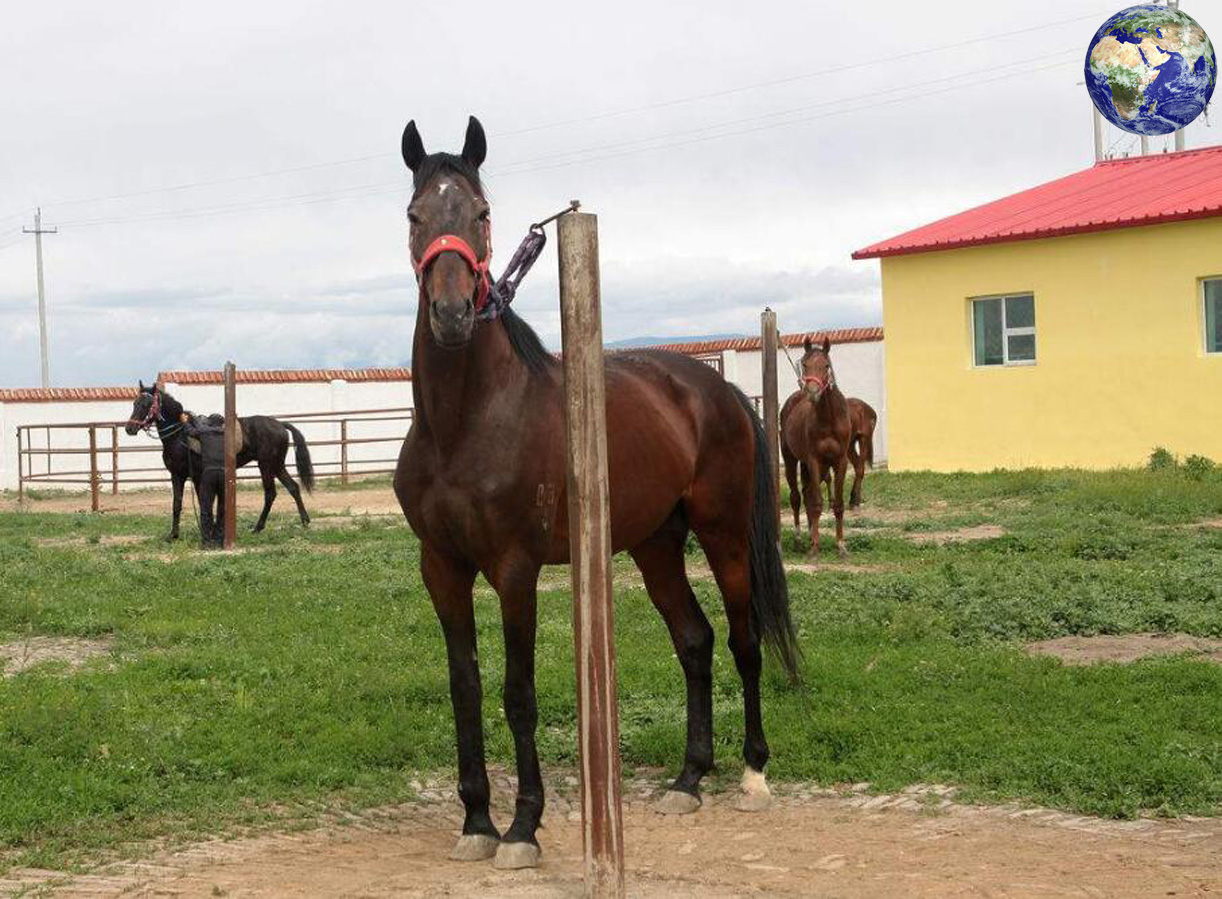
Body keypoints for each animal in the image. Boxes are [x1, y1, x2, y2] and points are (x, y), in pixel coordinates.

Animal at [122, 381, 315, 539]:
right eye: (134, 403)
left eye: (147, 404)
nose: (129, 428)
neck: (179, 436)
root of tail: (280, 424)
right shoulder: (177, 476)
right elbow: (176, 504)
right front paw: (173, 535)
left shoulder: (197, 476)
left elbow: (202, 503)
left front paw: (206, 531)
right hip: (277, 465)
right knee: (293, 487)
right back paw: (304, 522)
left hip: (266, 466)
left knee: (270, 494)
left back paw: (258, 527)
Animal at [386, 119, 796, 869]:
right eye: (414, 215)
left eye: (482, 214)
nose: (453, 314)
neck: (466, 422)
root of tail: (719, 390)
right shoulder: (442, 567)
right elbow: (466, 685)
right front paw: (477, 821)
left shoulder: (514, 568)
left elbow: (518, 692)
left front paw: (523, 827)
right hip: (656, 543)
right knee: (694, 640)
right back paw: (688, 779)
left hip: (723, 535)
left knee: (742, 639)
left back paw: (753, 773)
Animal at [782, 339, 850, 559]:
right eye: (804, 364)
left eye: (826, 365)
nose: (812, 392)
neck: (828, 418)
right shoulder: (814, 460)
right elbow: (817, 503)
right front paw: (815, 548)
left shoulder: (840, 461)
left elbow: (837, 504)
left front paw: (841, 545)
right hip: (791, 459)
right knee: (797, 497)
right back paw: (799, 540)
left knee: (807, 495)